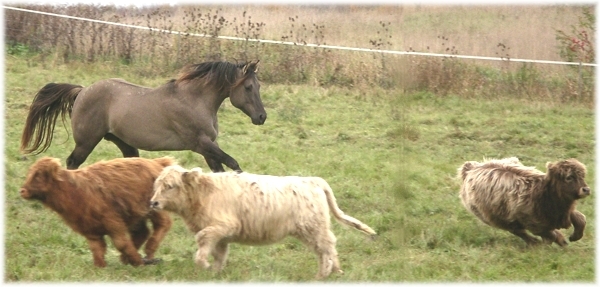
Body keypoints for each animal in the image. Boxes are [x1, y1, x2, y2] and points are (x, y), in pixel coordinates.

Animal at [19, 158, 173, 268]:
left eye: (38, 176)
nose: (22, 190)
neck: (72, 192)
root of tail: (157, 162)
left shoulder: (113, 223)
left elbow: (121, 244)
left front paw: (137, 262)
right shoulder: (89, 229)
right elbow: (97, 248)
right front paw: (100, 266)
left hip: (154, 208)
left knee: (163, 224)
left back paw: (149, 250)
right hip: (135, 213)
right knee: (142, 232)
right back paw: (126, 258)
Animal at [150, 165, 376, 280]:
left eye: (170, 186)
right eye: (157, 185)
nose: (153, 202)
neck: (203, 195)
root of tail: (312, 180)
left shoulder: (223, 225)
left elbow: (202, 238)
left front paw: (203, 264)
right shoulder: (221, 234)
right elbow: (219, 252)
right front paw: (215, 272)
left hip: (313, 228)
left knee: (326, 248)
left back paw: (323, 274)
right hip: (313, 229)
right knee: (327, 248)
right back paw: (335, 272)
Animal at [460, 158, 592, 248]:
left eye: (582, 176)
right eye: (569, 177)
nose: (586, 189)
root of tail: (471, 168)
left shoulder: (563, 213)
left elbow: (581, 219)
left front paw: (573, 237)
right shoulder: (533, 223)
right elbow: (551, 234)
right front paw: (558, 241)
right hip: (495, 218)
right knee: (518, 231)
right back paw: (534, 243)